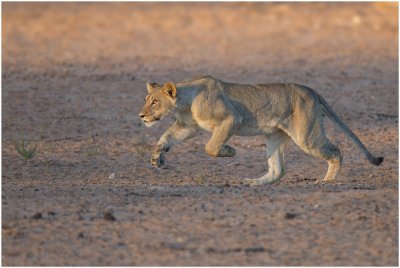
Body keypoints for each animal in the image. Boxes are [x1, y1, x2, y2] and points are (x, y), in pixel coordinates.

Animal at [139, 74, 382, 185]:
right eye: (146, 100)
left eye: (155, 102)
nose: (141, 116)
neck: (186, 102)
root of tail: (311, 90)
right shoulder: (188, 126)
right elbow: (167, 136)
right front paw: (157, 157)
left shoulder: (231, 118)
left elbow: (210, 146)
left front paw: (229, 151)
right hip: (275, 137)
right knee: (278, 170)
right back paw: (254, 182)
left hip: (306, 136)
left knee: (337, 151)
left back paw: (327, 180)